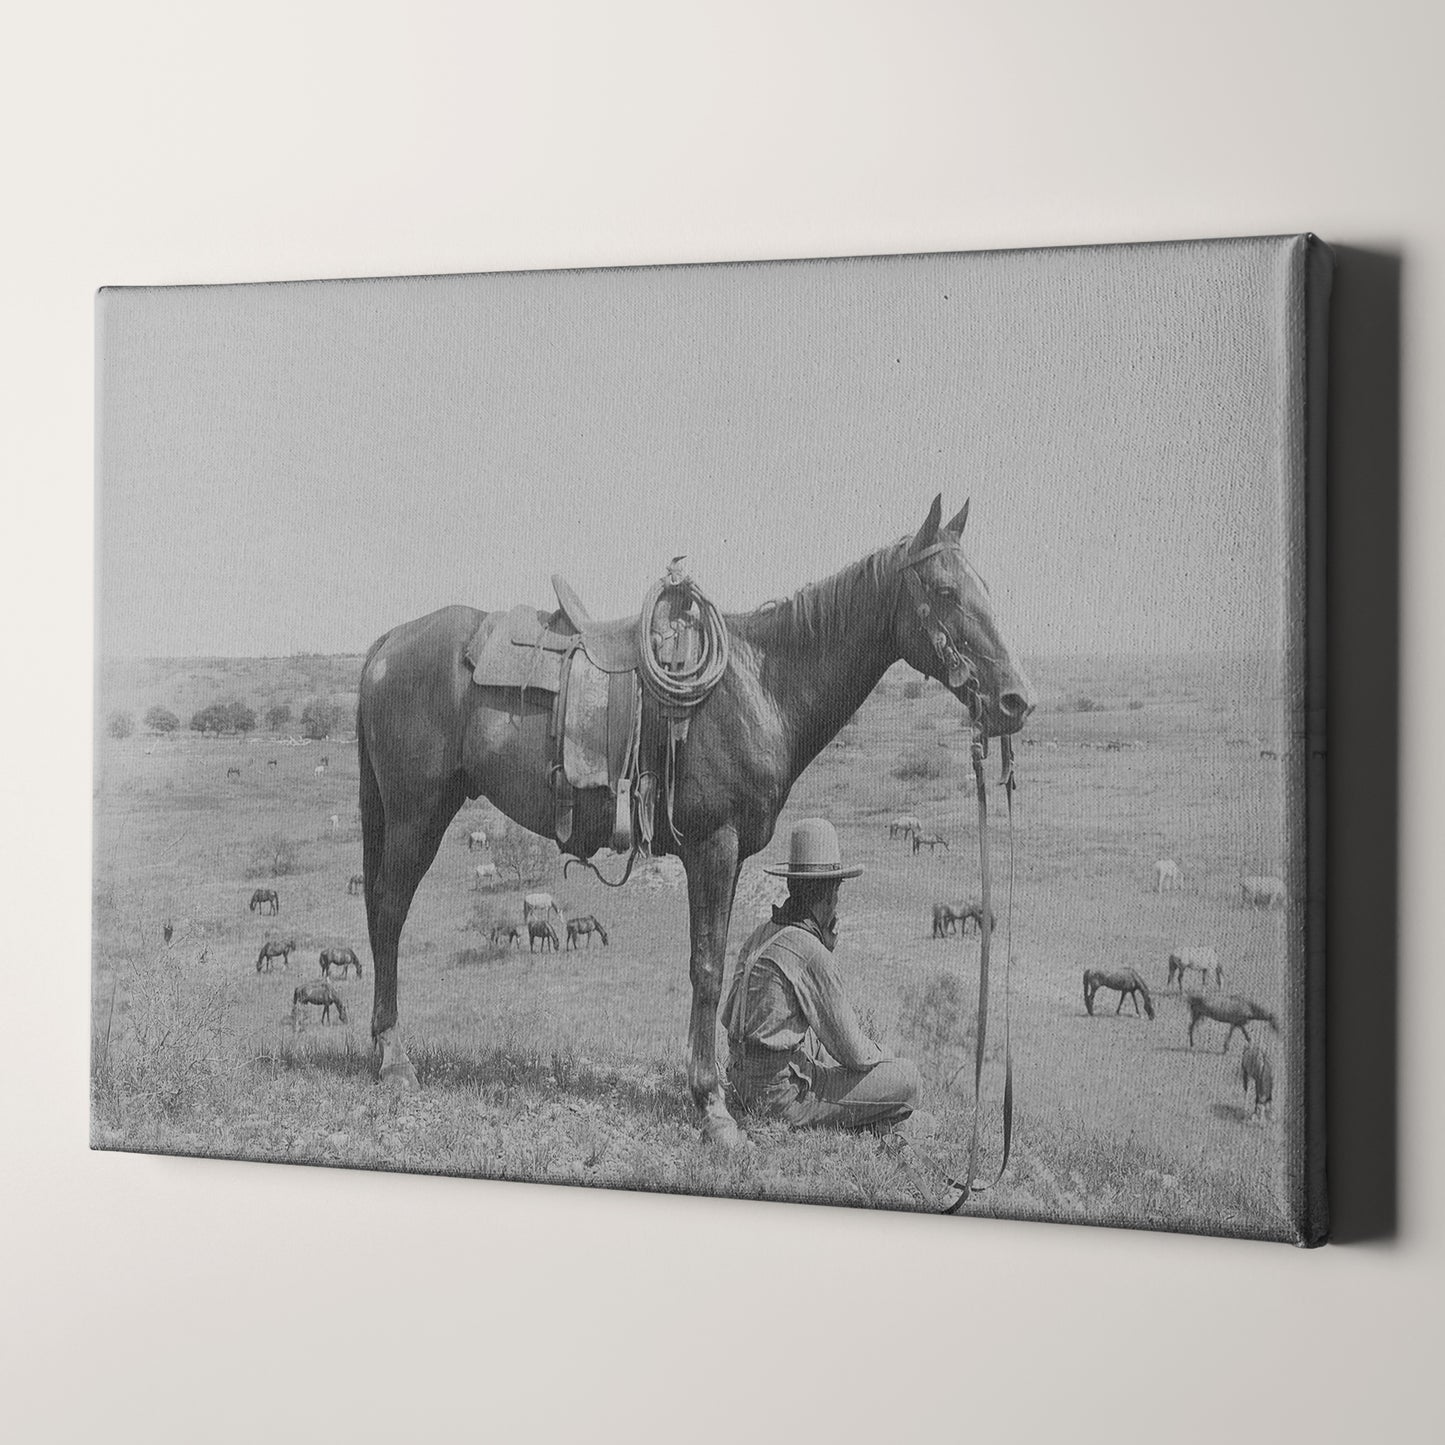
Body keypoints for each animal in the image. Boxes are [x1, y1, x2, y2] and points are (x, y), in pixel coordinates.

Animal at [352, 491, 1028, 1144]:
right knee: (388, 914)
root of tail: (385, 646)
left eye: (986, 589)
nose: (1016, 700)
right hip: (416, 817)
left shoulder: (729, 852)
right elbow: (707, 967)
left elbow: (719, 959)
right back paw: (394, 1059)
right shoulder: (713, 846)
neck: (761, 685)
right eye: (945, 591)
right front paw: (713, 1106)